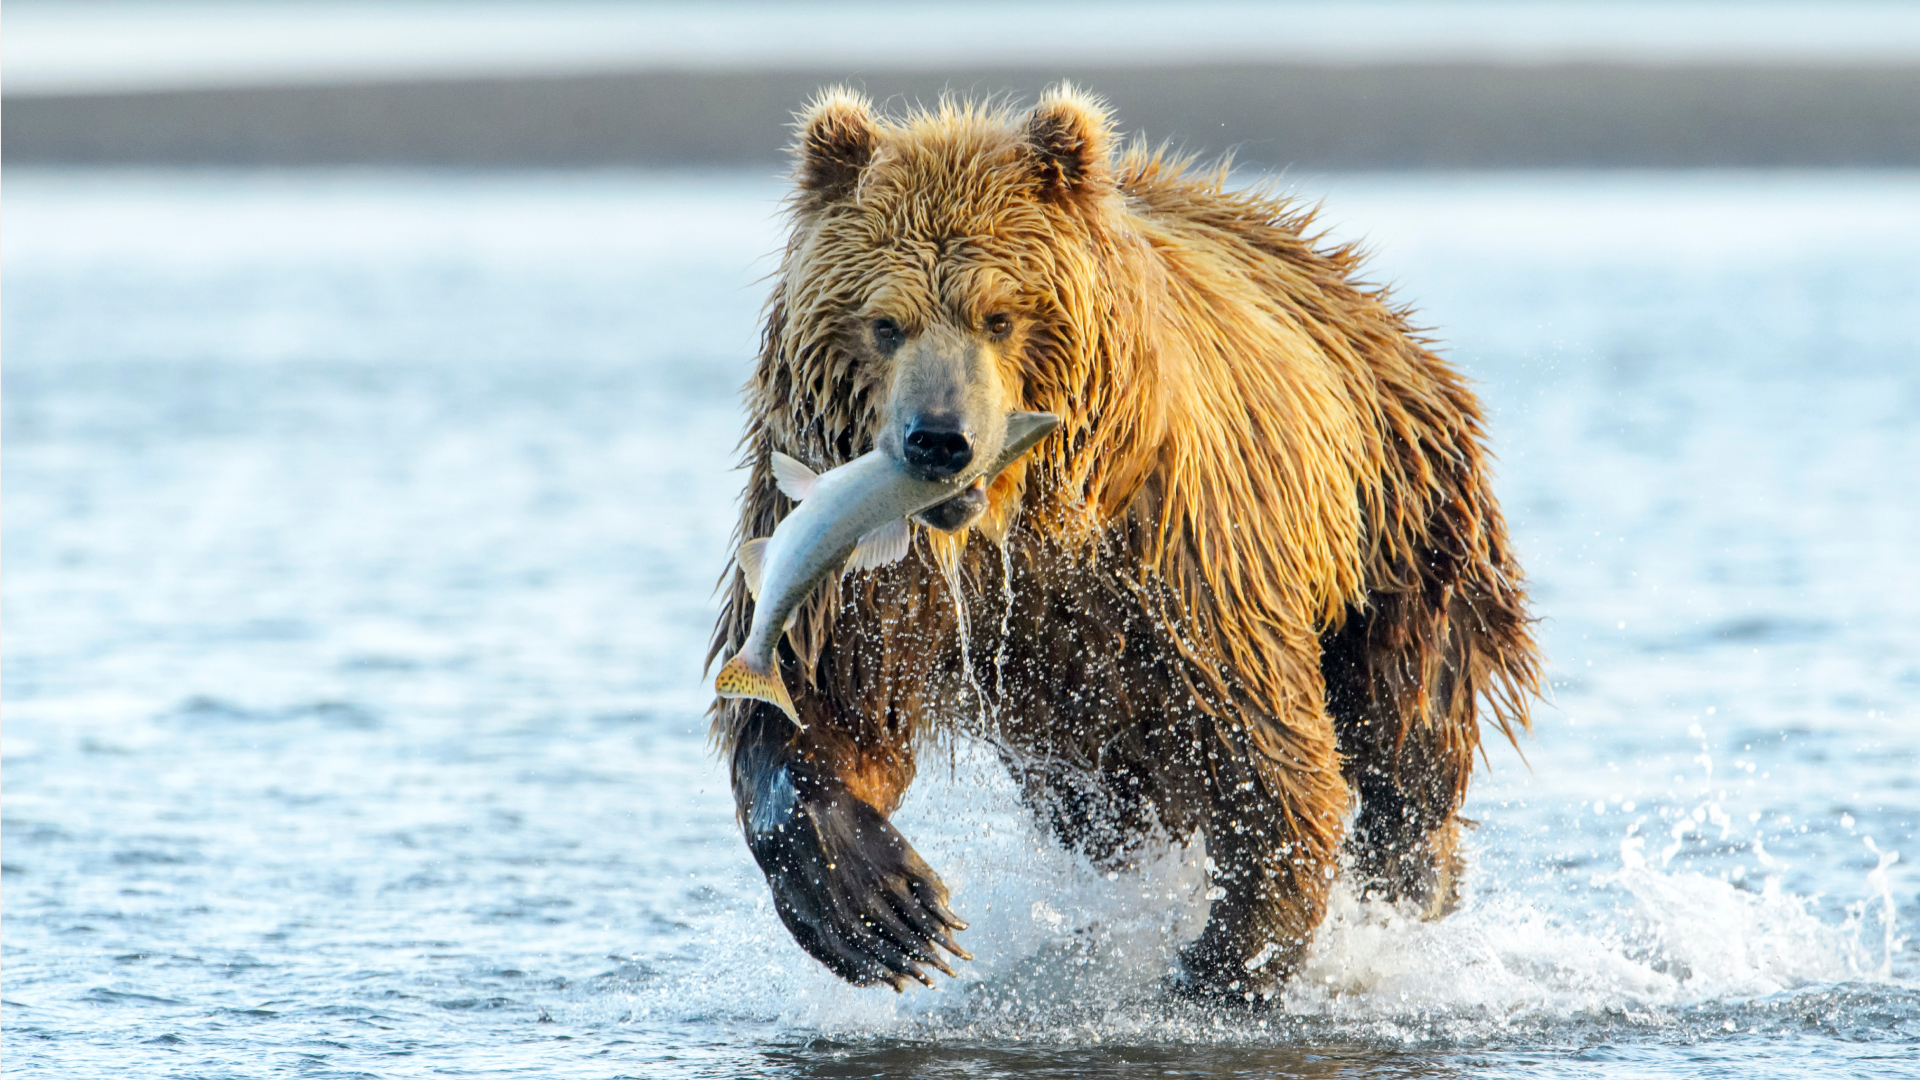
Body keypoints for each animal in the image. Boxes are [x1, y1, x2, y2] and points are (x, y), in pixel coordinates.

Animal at [709, 84, 1540, 998]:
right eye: (884, 322)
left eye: (1001, 314)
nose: (939, 439)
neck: (1014, 527)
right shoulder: (862, 579)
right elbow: (823, 704)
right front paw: (885, 910)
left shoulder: (1180, 555)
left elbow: (1261, 743)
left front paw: (1228, 958)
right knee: (1100, 803)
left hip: (1401, 521)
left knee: (1411, 725)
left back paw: (1412, 880)